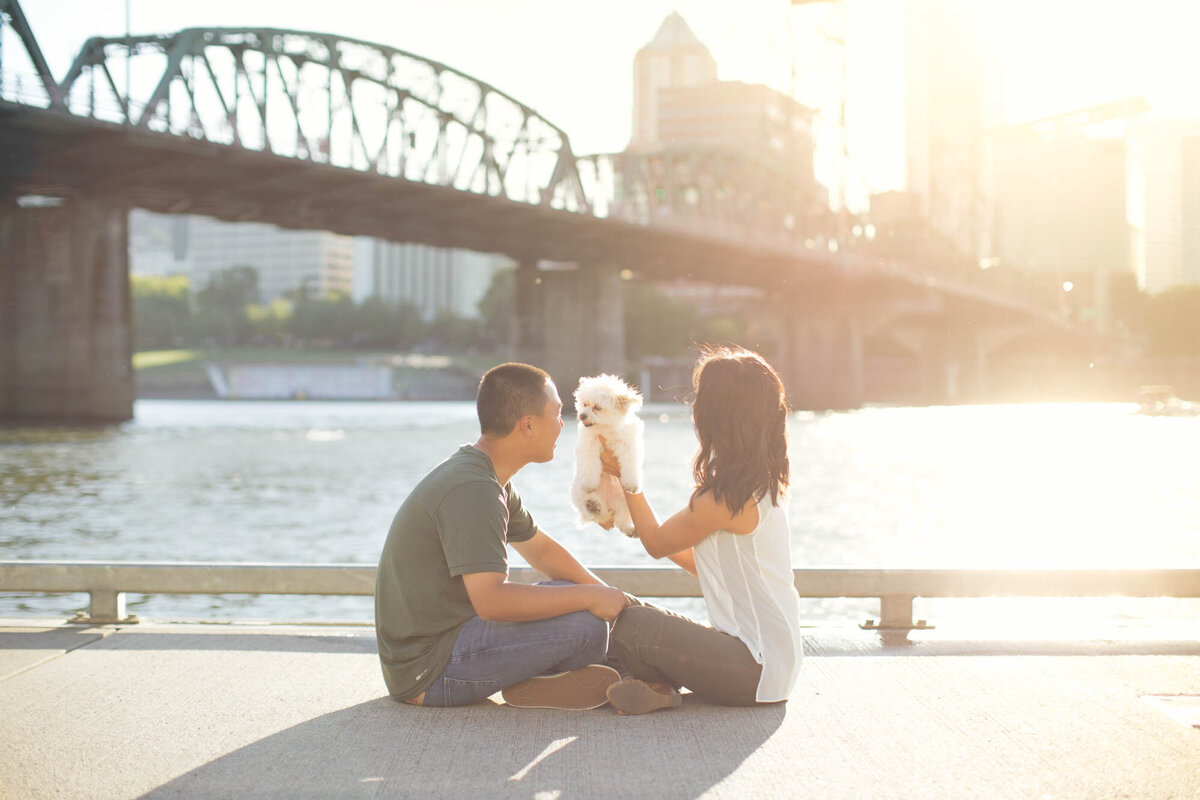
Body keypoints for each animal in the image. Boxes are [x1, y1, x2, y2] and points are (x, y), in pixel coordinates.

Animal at [573, 376, 648, 537]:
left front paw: (632, 484)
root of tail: (610, 506)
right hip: (580, 495)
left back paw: (630, 530)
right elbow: (590, 465)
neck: (606, 429)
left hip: (625, 504)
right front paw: (589, 483)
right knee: (597, 514)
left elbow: (630, 466)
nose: (582, 415)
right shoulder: (589, 445)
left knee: (621, 520)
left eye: (597, 408)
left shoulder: (628, 445)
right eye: (584, 404)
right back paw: (593, 507)